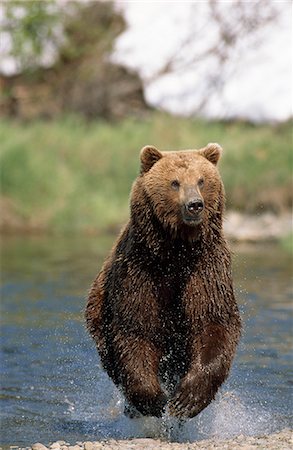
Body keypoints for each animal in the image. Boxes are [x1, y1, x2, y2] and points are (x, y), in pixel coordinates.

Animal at [85, 144, 241, 418]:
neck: (176, 251)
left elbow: (212, 322)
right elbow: (135, 328)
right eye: (175, 182)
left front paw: (185, 400)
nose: (195, 205)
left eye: (201, 180)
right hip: (98, 310)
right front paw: (155, 400)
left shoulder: (206, 270)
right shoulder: (141, 272)